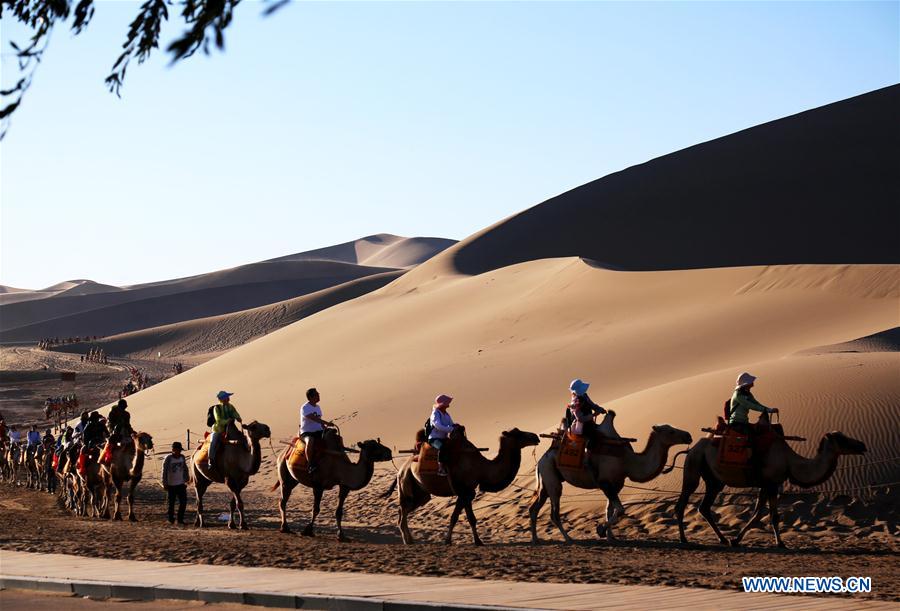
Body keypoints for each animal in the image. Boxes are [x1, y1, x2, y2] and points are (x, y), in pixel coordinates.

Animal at [388, 424, 540, 548]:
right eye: (517, 433)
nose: (536, 437)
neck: (482, 468)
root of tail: (401, 469)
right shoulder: (464, 491)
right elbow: (470, 518)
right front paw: (477, 541)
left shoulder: (467, 493)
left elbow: (455, 517)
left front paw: (448, 540)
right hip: (406, 481)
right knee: (402, 513)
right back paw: (407, 540)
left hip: (421, 493)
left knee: (404, 511)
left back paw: (410, 540)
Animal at [532, 408, 692, 544]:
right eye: (670, 431)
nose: (688, 436)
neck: (627, 461)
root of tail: (542, 459)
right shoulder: (604, 482)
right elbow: (620, 509)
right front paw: (600, 530)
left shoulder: (617, 484)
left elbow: (609, 509)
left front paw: (610, 537)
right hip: (551, 477)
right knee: (554, 512)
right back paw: (568, 538)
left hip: (546, 480)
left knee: (535, 507)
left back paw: (535, 539)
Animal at [672, 430, 868, 548]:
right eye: (842, 438)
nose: (862, 445)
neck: (790, 462)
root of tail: (691, 449)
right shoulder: (773, 484)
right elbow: (773, 516)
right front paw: (780, 543)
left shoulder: (766, 485)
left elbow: (758, 513)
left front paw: (736, 539)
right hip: (694, 467)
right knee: (682, 503)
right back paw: (683, 538)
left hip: (714, 481)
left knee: (704, 507)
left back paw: (722, 538)